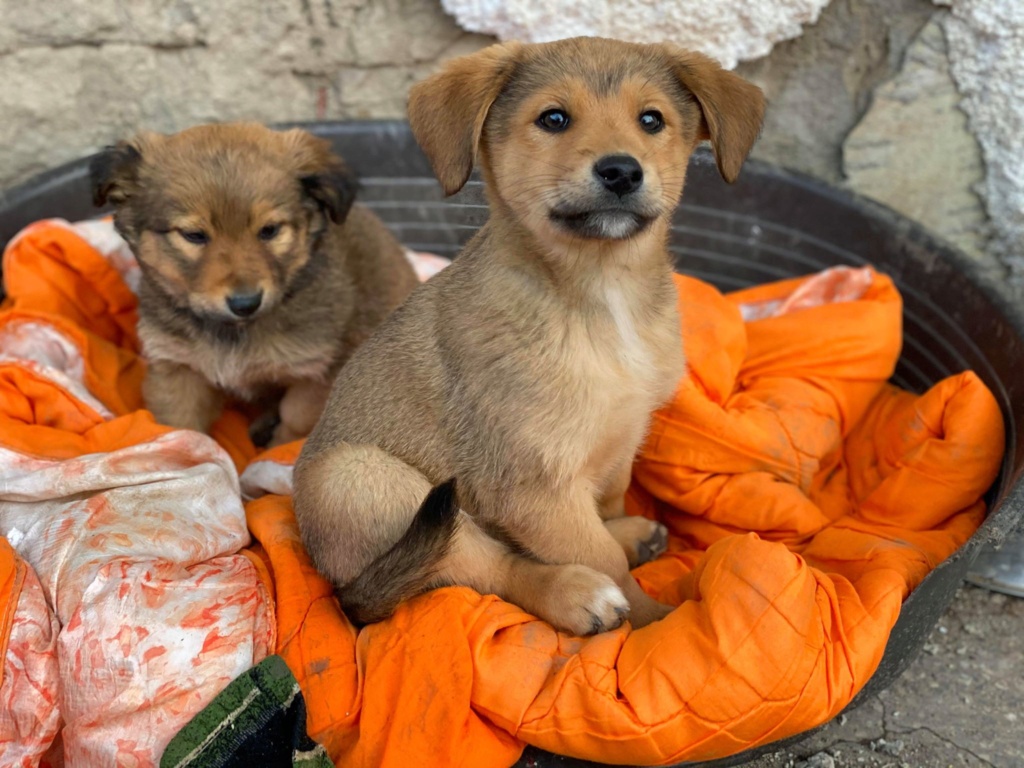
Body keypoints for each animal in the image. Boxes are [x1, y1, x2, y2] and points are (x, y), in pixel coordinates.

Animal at [90, 123, 417, 448]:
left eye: (269, 230)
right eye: (194, 235)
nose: (245, 303)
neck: (234, 333)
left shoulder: (316, 371)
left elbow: (295, 419)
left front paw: (276, 451)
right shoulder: (177, 366)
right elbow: (181, 426)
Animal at [292, 37, 765, 638]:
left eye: (651, 119)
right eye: (554, 118)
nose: (621, 171)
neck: (601, 296)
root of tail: (339, 586)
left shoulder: (620, 440)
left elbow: (607, 510)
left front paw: (625, 540)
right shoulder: (533, 485)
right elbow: (598, 557)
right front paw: (654, 623)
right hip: (364, 484)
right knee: (493, 567)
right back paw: (577, 594)